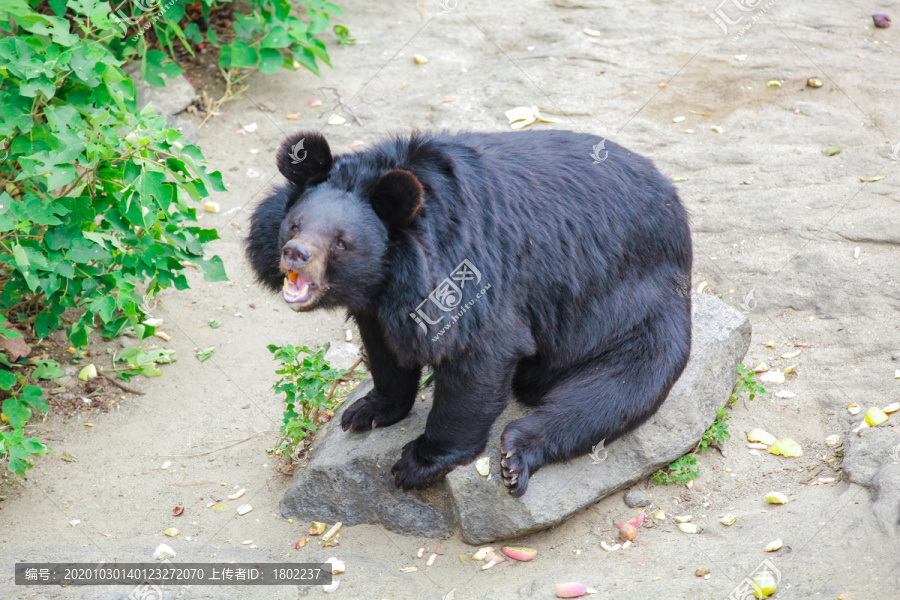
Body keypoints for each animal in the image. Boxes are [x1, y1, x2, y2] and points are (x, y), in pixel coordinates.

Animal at [243, 130, 692, 496]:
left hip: (631, 304)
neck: (391, 276)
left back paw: (515, 456)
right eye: (294, 224)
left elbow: (477, 357)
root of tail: (678, 214)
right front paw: (366, 411)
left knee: (616, 389)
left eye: (340, 242)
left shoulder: (470, 273)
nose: (295, 255)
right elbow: (386, 353)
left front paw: (417, 464)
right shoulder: (373, 304)